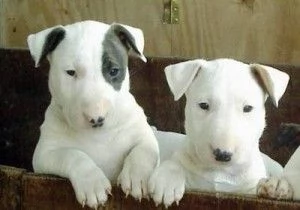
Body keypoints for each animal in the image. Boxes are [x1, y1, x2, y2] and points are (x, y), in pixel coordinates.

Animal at [27, 20, 159, 208]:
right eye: (71, 72)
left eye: (113, 71)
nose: (96, 119)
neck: (98, 135)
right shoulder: (43, 155)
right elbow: (73, 154)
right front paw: (92, 184)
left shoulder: (143, 135)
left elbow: (144, 150)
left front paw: (137, 178)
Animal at [149, 57, 290, 207]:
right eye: (203, 105)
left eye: (248, 108)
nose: (223, 154)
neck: (220, 171)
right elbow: (174, 163)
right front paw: (166, 182)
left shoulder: (248, 190)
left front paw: (276, 185)